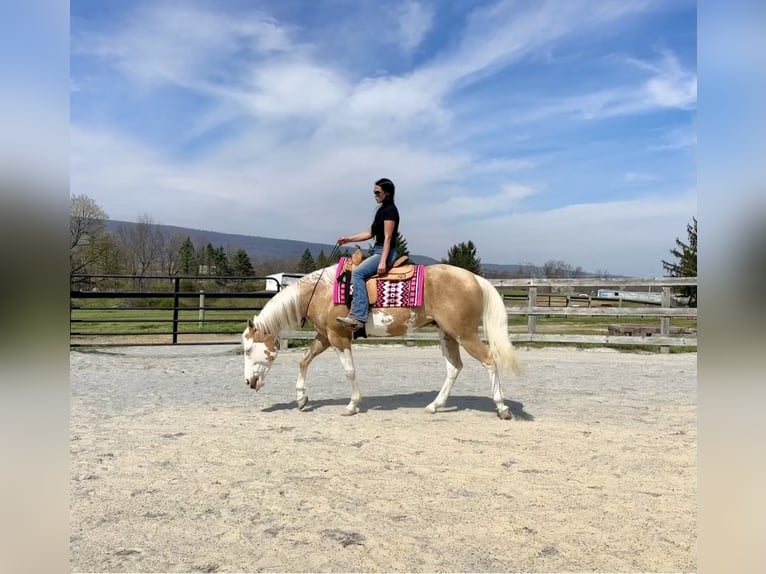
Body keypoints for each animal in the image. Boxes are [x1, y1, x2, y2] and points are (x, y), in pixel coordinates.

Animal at [242, 263, 523, 419]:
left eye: (248, 349)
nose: (249, 382)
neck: (320, 291)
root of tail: (475, 279)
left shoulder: (338, 337)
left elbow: (349, 371)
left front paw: (352, 405)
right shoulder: (325, 336)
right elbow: (304, 360)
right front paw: (301, 399)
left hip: (464, 333)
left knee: (489, 360)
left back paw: (502, 408)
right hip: (447, 334)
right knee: (454, 368)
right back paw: (434, 405)